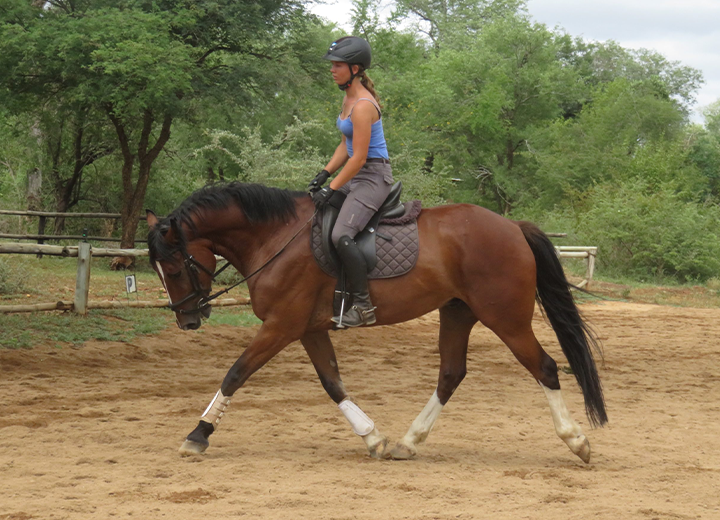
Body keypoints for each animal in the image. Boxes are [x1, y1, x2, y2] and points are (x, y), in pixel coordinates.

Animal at [146, 181, 606, 462]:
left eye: (175, 267)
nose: (187, 320)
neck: (274, 237)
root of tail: (512, 226)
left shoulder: (281, 326)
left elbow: (235, 373)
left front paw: (198, 435)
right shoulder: (308, 329)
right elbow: (333, 384)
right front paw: (373, 437)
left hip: (506, 318)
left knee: (544, 367)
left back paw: (577, 441)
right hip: (458, 312)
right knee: (451, 373)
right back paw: (408, 442)